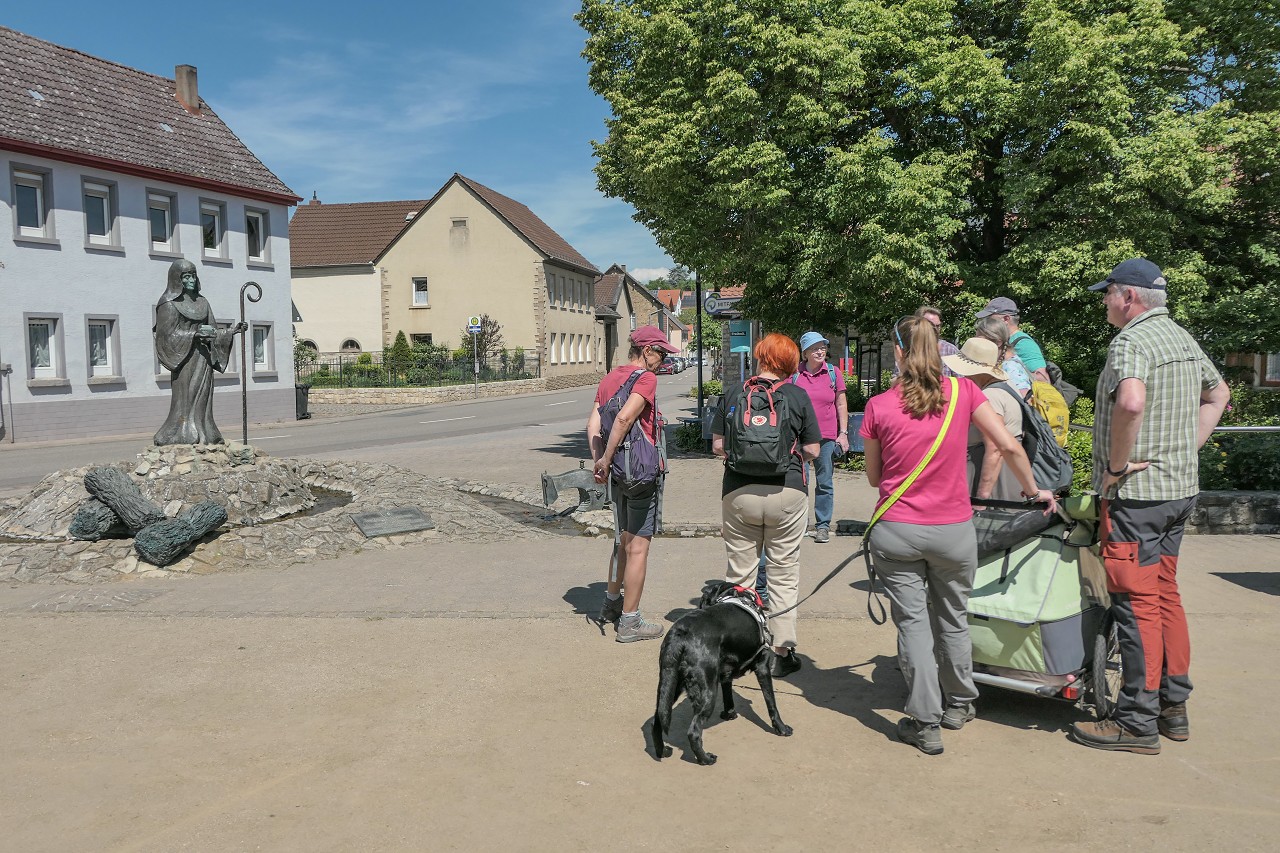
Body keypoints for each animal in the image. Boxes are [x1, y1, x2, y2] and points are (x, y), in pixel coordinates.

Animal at [655, 578, 793, 763]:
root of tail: (680, 633)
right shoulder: (763, 667)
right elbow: (771, 703)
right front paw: (781, 728)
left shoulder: (725, 675)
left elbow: (728, 696)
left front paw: (729, 714)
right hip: (707, 691)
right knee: (693, 732)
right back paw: (705, 759)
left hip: (669, 685)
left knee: (657, 719)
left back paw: (662, 751)